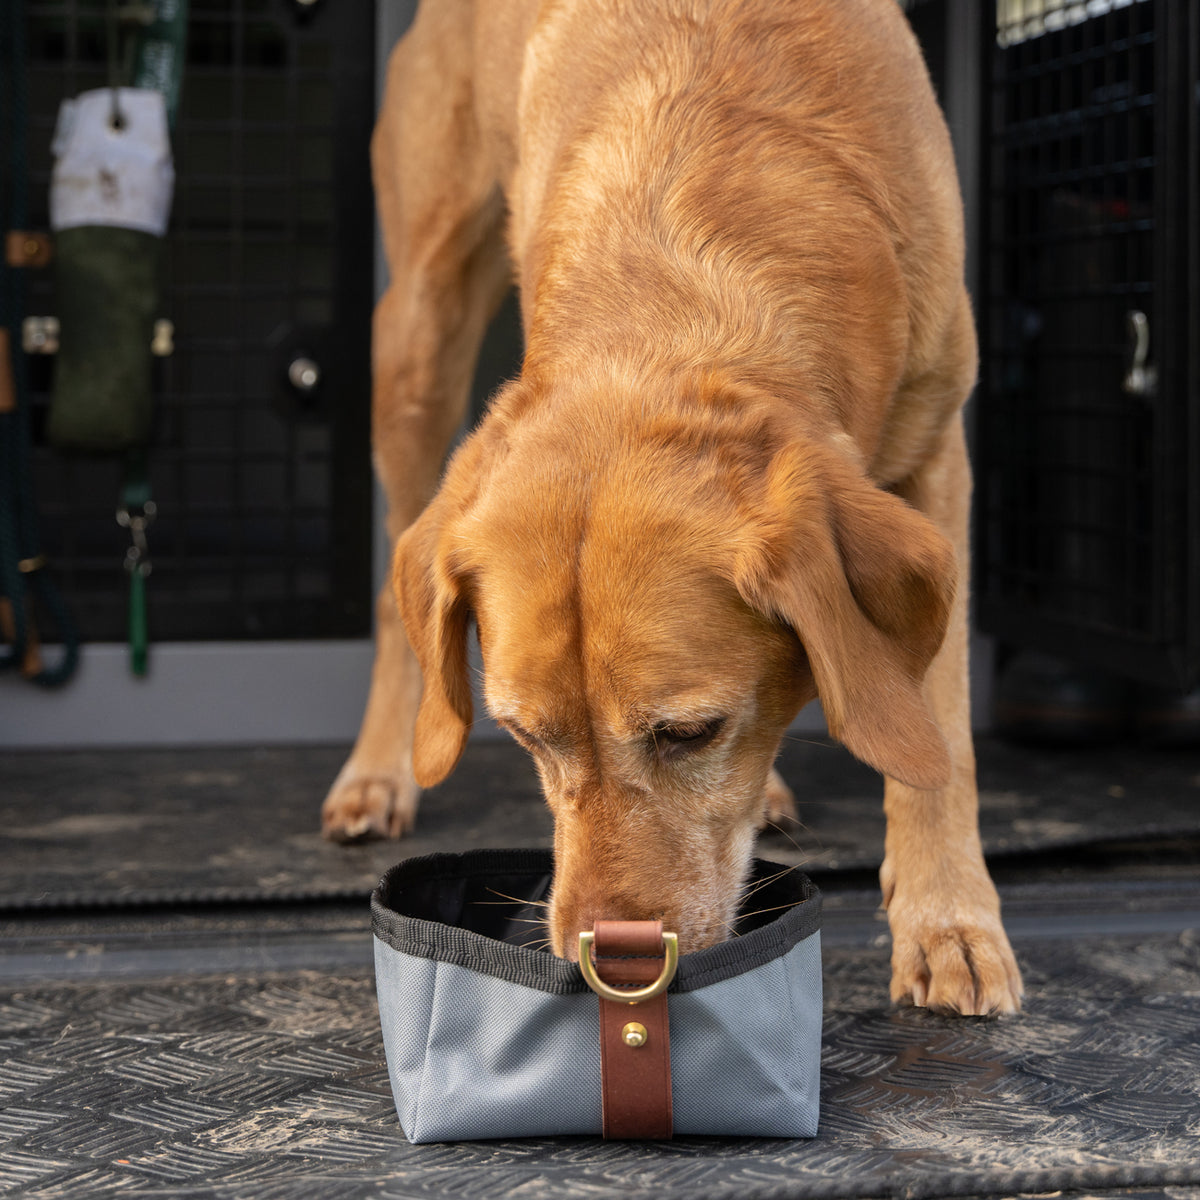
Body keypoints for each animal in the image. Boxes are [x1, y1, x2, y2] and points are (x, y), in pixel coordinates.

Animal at [326, 0, 1022, 1017]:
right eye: (524, 735)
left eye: (690, 732)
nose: (603, 970)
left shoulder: (938, 452)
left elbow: (940, 731)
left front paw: (949, 919)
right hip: (416, 334)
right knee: (388, 595)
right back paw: (377, 773)